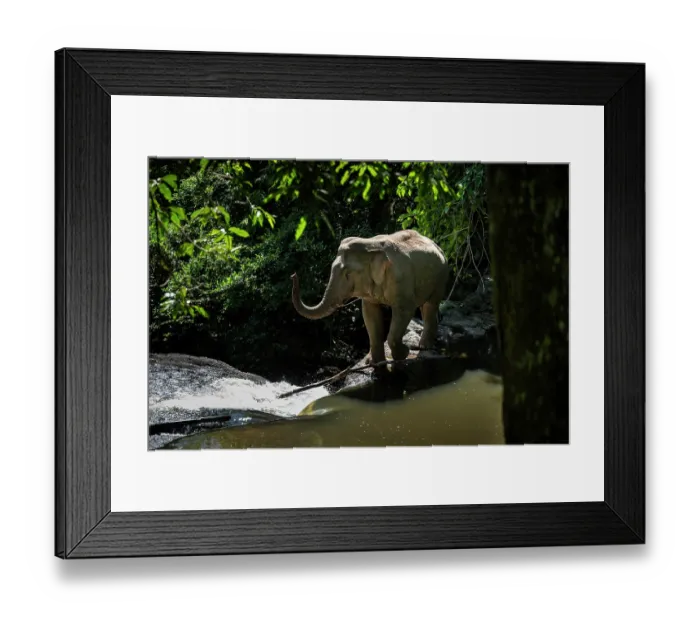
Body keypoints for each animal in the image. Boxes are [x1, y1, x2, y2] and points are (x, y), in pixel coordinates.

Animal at [291, 229, 449, 364]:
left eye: (348, 273)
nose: (293, 274)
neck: (372, 245)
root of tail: (437, 245)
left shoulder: (400, 280)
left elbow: (405, 310)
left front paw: (403, 353)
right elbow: (369, 313)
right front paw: (375, 363)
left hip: (441, 275)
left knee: (430, 305)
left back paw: (423, 346)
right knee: (426, 306)